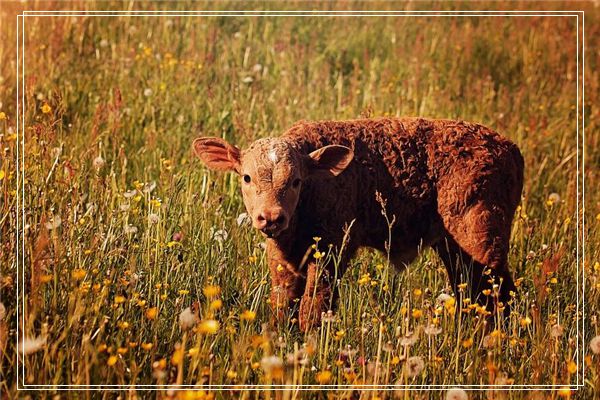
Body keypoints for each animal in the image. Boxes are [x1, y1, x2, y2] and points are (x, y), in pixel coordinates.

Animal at [195, 117, 524, 330]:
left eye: (296, 181)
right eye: (246, 177)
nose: (272, 217)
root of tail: (510, 148)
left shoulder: (331, 252)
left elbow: (314, 309)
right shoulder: (282, 261)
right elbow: (282, 306)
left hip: (481, 239)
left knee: (500, 295)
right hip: (454, 247)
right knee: (472, 293)